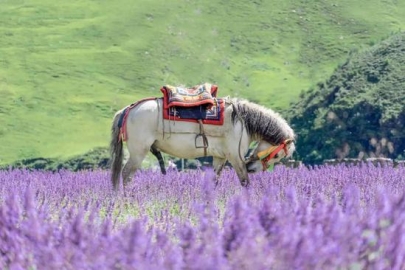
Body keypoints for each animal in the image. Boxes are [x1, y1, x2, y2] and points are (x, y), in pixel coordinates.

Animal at [109, 97, 296, 190]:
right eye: (278, 156)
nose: (252, 168)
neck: (242, 121)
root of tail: (128, 109)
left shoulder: (220, 158)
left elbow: (214, 181)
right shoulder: (236, 158)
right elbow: (245, 182)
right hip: (138, 152)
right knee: (126, 175)